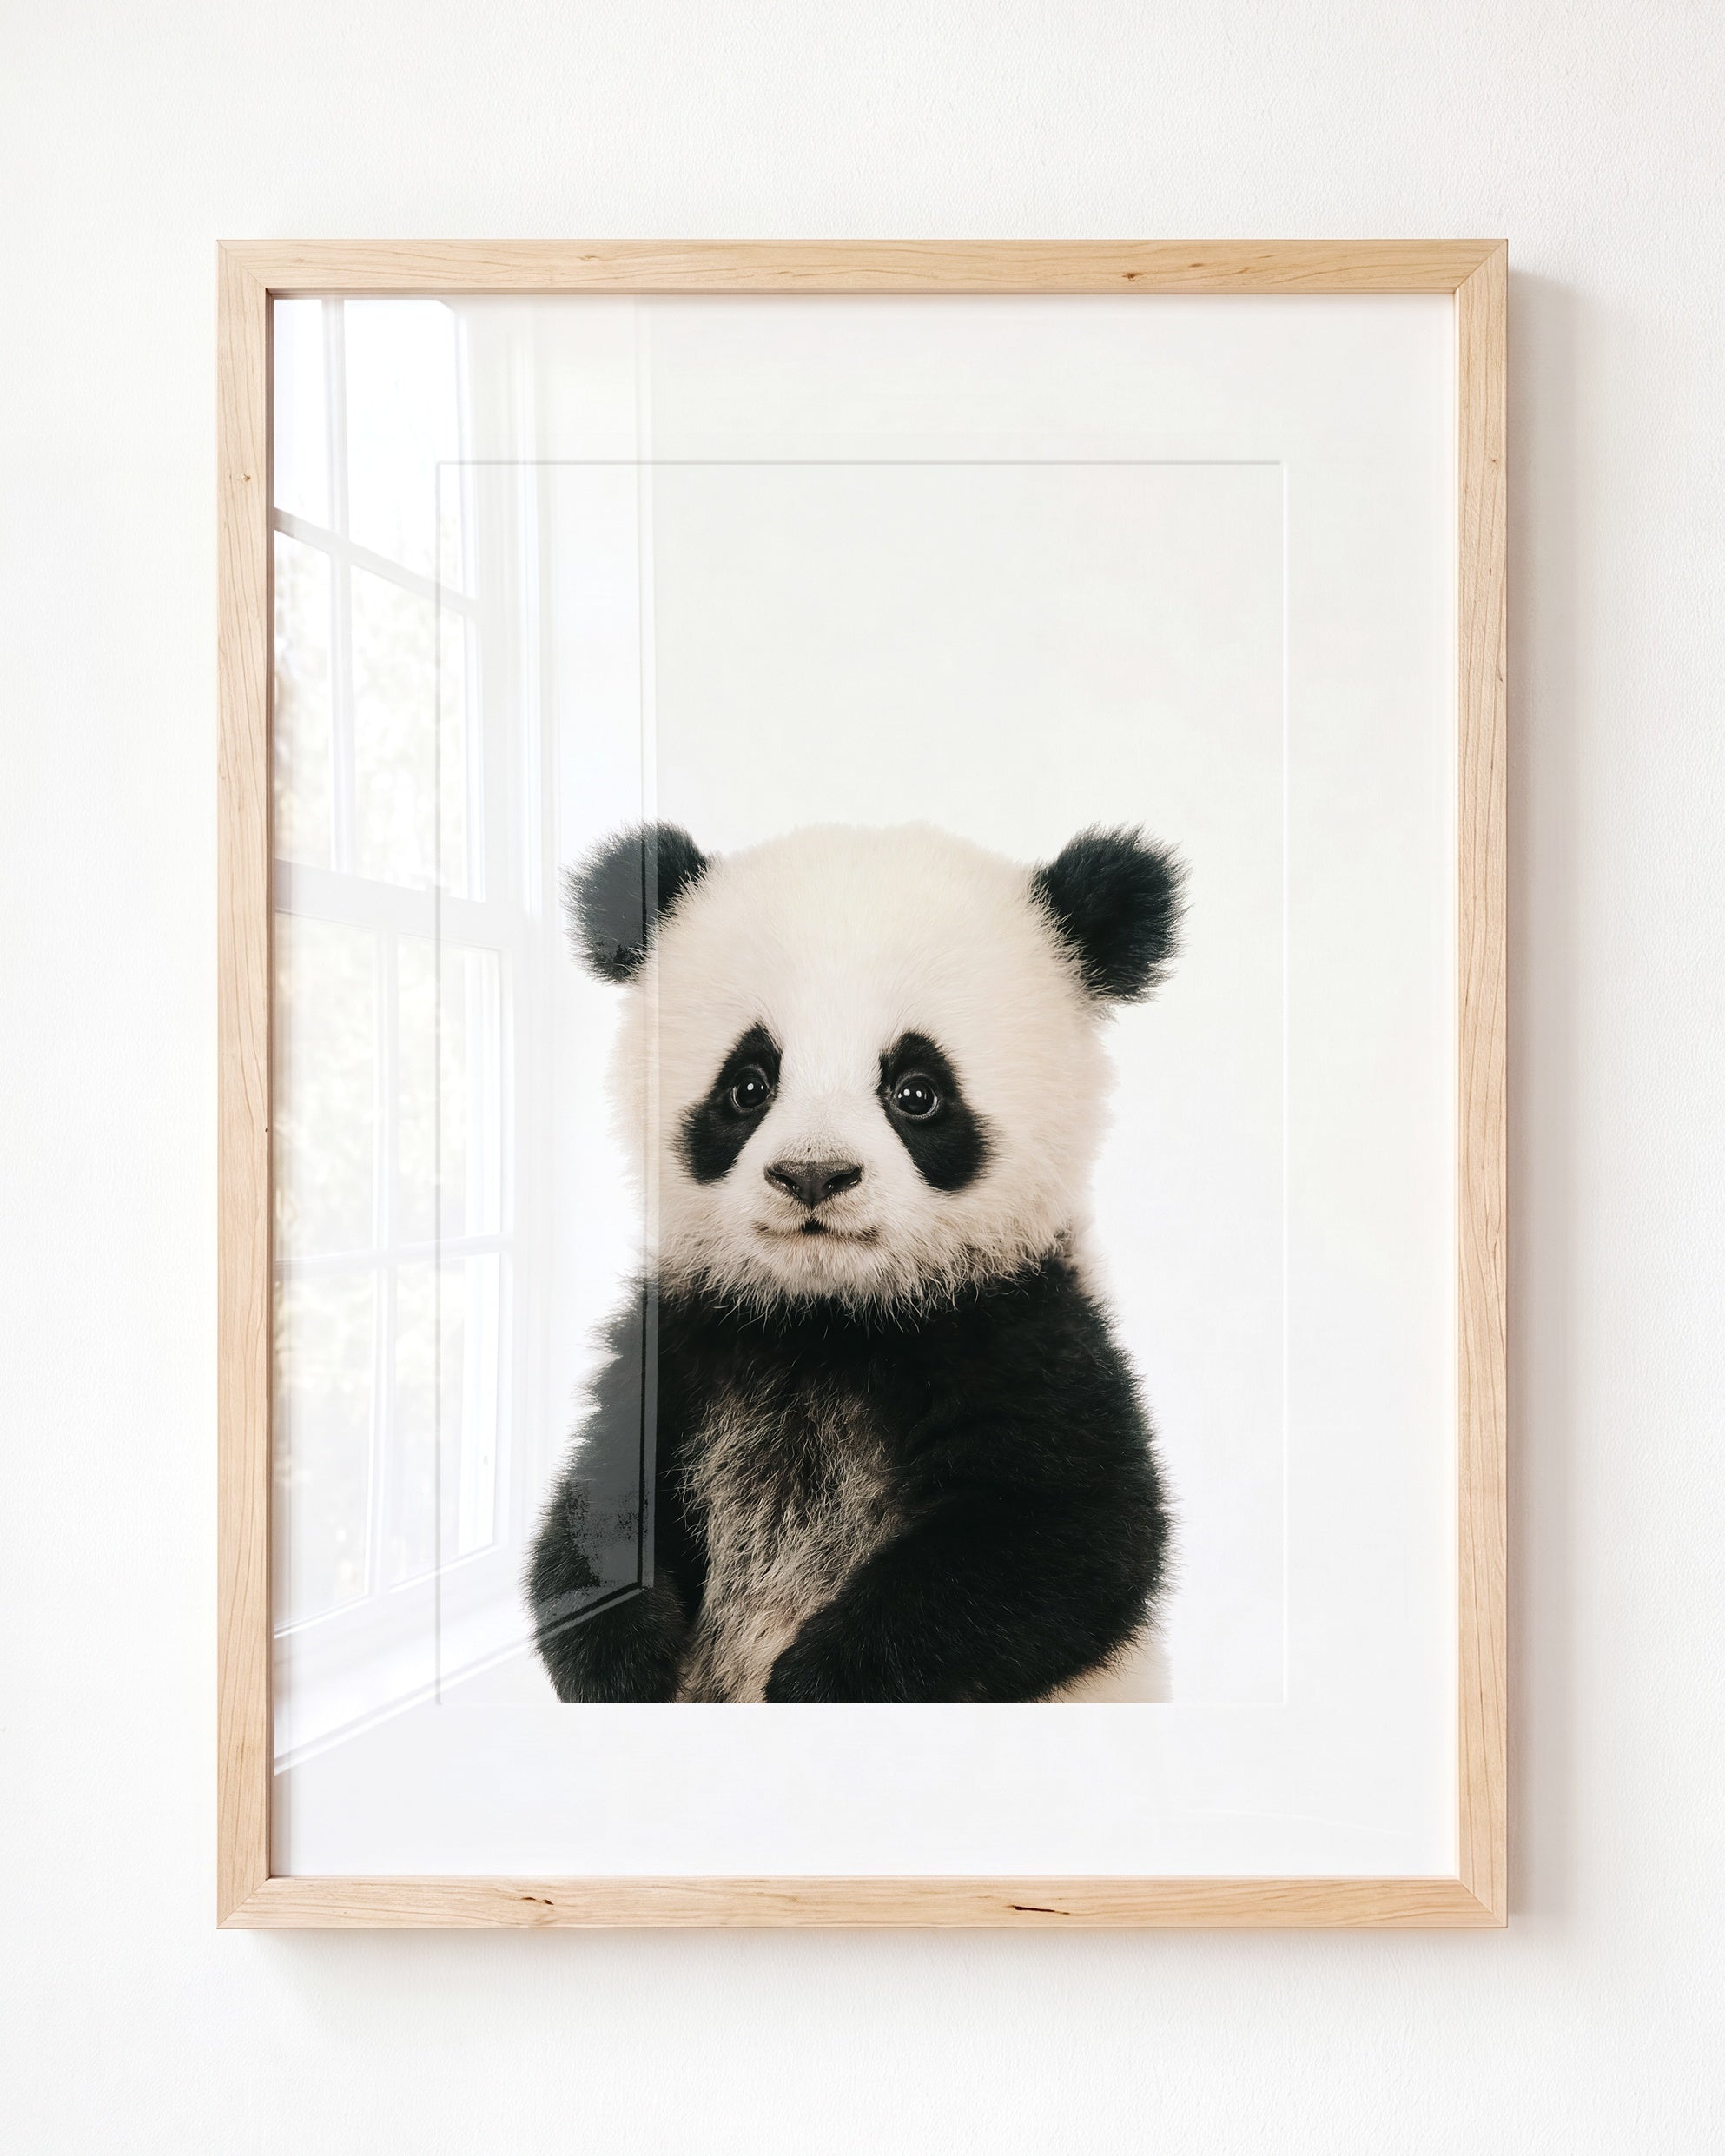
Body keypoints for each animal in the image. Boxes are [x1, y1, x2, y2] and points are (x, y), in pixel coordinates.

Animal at [528, 818, 1184, 1704]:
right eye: (748, 1084)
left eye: (917, 1091)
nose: (814, 1174)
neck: (828, 1317)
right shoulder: (684, 1336)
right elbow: (595, 1508)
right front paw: (625, 1662)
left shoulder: (1024, 1331)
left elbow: (1067, 1536)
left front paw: (815, 1682)